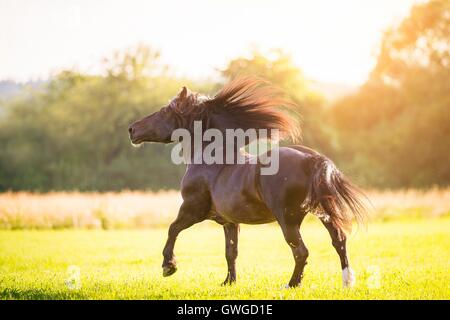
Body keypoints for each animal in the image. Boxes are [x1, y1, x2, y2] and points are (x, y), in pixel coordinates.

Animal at [128, 77, 368, 288]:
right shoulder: (229, 221)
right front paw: (228, 282)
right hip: (323, 212)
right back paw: (347, 282)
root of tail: (313, 159)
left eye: (164, 111)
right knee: (339, 240)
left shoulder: (192, 209)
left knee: (301, 251)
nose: (132, 129)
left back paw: (291, 285)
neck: (209, 160)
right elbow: (231, 252)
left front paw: (169, 266)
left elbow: (173, 229)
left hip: (288, 219)